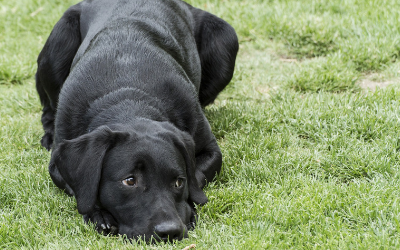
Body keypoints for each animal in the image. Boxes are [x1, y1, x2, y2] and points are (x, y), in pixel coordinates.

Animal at [36, 0, 238, 242]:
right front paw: (99, 215)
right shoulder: (57, 163)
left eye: (179, 181)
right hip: (58, 44)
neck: (128, 99)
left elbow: (196, 177)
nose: (170, 231)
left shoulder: (210, 149)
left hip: (225, 38)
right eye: (129, 181)